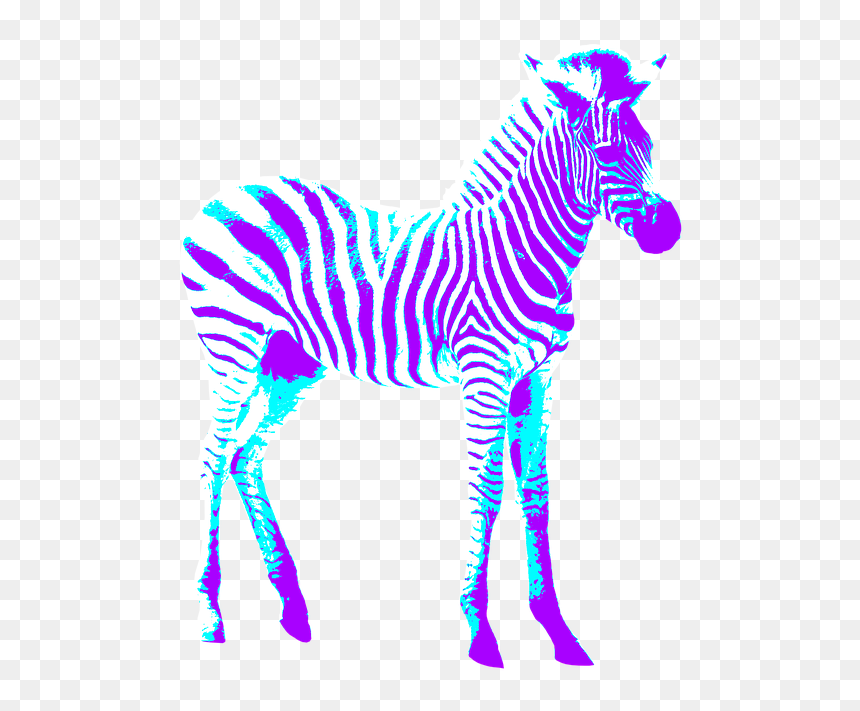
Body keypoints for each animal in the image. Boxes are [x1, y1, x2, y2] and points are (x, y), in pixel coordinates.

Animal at [181, 47, 681, 669]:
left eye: (650, 145)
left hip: (291, 363)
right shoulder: (485, 374)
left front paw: (560, 634)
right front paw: (480, 631)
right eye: (609, 151)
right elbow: (487, 489)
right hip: (234, 348)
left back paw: (293, 609)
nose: (668, 231)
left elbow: (535, 491)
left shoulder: (536, 378)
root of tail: (227, 194)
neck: (523, 245)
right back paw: (211, 616)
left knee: (244, 456)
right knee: (213, 458)